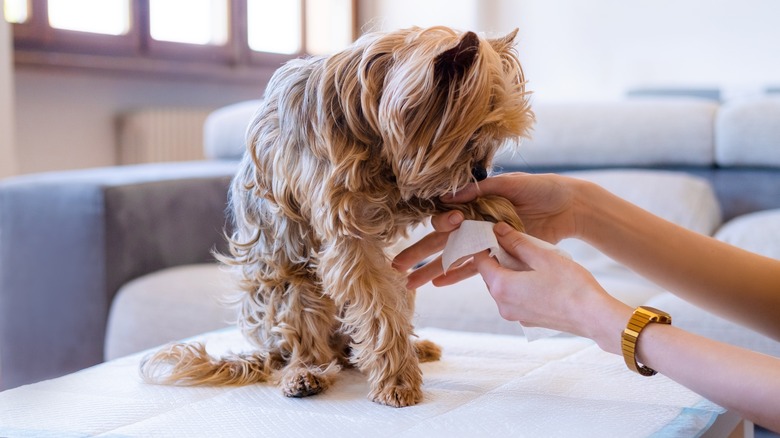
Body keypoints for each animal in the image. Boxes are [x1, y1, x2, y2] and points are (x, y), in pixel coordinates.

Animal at [140, 24, 532, 408]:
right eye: (473, 135)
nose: (481, 172)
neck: (369, 117)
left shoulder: (399, 188)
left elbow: (423, 194)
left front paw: (498, 211)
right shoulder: (348, 229)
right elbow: (377, 308)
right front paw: (397, 380)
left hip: (396, 285)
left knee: (361, 338)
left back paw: (414, 347)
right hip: (293, 290)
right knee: (309, 347)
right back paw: (305, 374)